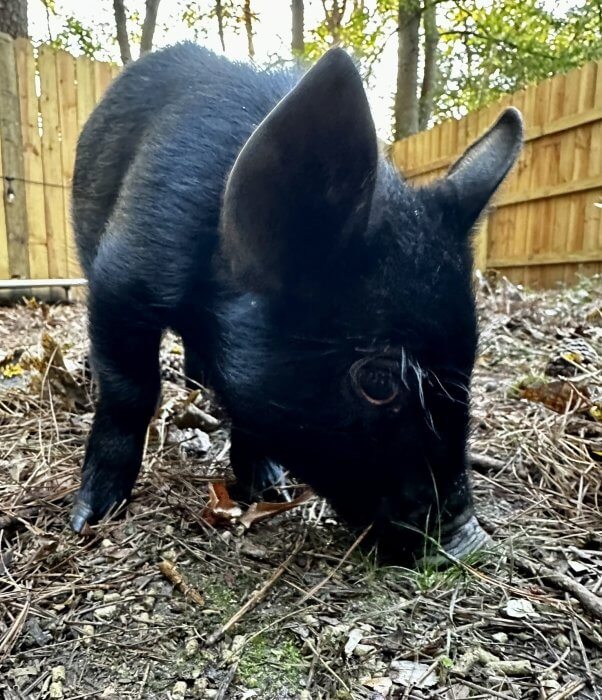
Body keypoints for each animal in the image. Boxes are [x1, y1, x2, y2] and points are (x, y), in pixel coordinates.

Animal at [71, 43, 520, 560]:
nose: (472, 538)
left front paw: (270, 490)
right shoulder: (120, 279)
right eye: (378, 381)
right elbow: (131, 391)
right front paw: (90, 519)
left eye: (470, 361)